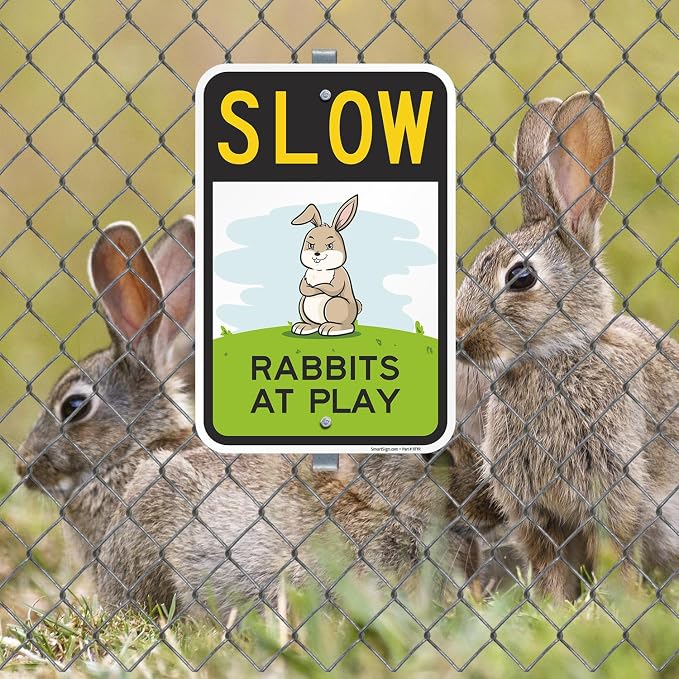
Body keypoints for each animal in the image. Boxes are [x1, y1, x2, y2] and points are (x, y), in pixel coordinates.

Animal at [291, 195, 362, 337]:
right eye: (310, 245)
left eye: (330, 246)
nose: (317, 254)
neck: (320, 269)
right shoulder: (305, 275)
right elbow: (302, 287)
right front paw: (309, 287)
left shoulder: (339, 276)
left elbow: (331, 288)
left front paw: (315, 288)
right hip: (302, 304)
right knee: (313, 324)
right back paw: (303, 327)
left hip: (334, 304)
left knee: (347, 326)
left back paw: (331, 328)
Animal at [456, 91, 679, 601]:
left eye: (521, 277)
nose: (460, 338)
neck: (553, 359)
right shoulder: (537, 515)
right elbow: (550, 567)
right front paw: (555, 607)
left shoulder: (617, 494)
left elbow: (619, 556)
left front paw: (617, 604)